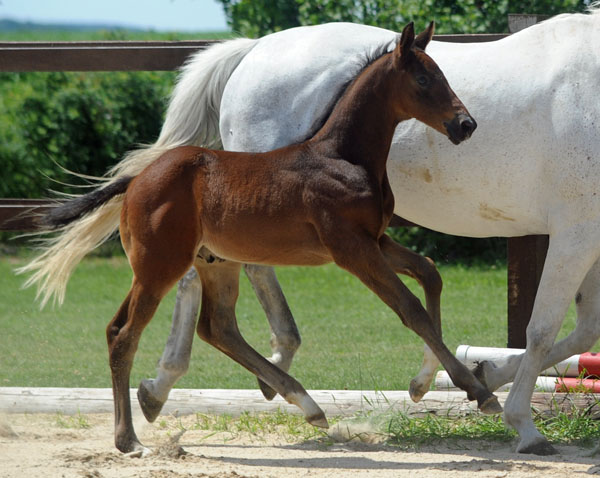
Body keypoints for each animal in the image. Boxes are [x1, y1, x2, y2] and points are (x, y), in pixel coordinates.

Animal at [35, 23, 500, 456]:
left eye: (442, 74)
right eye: (423, 79)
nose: (466, 124)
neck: (342, 156)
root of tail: (136, 181)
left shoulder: (376, 240)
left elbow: (429, 273)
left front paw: (426, 383)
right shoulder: (351, 249)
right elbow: (410, 309)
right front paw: (479, 391)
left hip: (212, 262)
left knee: (215, 328)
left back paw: (304, 402)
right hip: (158, 267)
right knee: (125, 334)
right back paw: (129, 439)